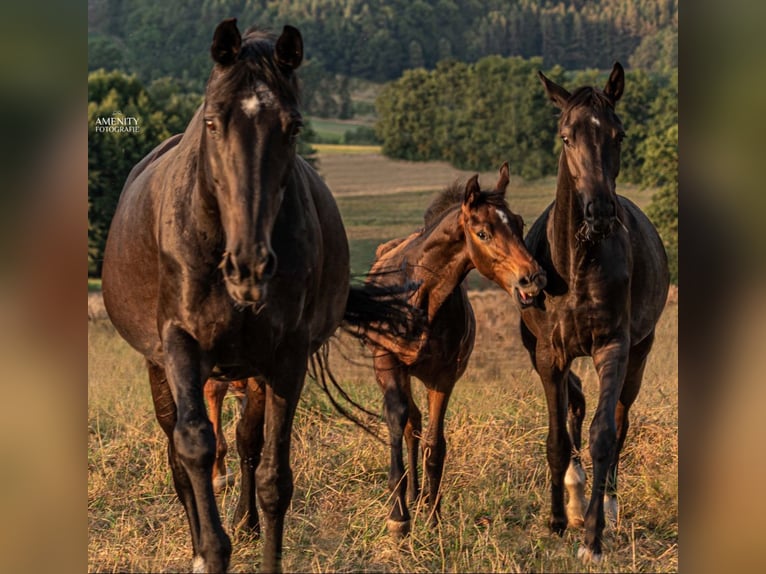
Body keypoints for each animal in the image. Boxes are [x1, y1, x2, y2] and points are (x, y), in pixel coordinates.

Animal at [103, 19, 414, 574]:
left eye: (292, 127)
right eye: (211, 123)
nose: (248, 264)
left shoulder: (286, 356)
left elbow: (273, 476)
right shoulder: (180, 347)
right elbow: (195, 447)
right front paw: (209, 550)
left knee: (247, 443)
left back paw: (244, 523)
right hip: (159, 365)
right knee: (178, 453)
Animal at [364, 165, 544, 540]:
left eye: (519, 223)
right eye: (482, 232)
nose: (533, 280)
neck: (421, 298)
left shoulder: (443, 376)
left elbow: (435, 443)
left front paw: (433, 519)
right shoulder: (388, 364)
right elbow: (396, 421)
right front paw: (397, 518)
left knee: (416, 424)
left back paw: (418, 498)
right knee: (407, 421)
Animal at [520, 62, 672, 564]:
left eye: (618, 134)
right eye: (566, 137)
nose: (601, 212)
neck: (575, 265)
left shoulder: (613, 347)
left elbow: (604, 433)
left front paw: (592, 539)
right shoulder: (548, 354)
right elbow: (557, 438)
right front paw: (556, 519)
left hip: (639, 354)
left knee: (620, 421)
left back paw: (606, 502)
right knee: (576, 406)